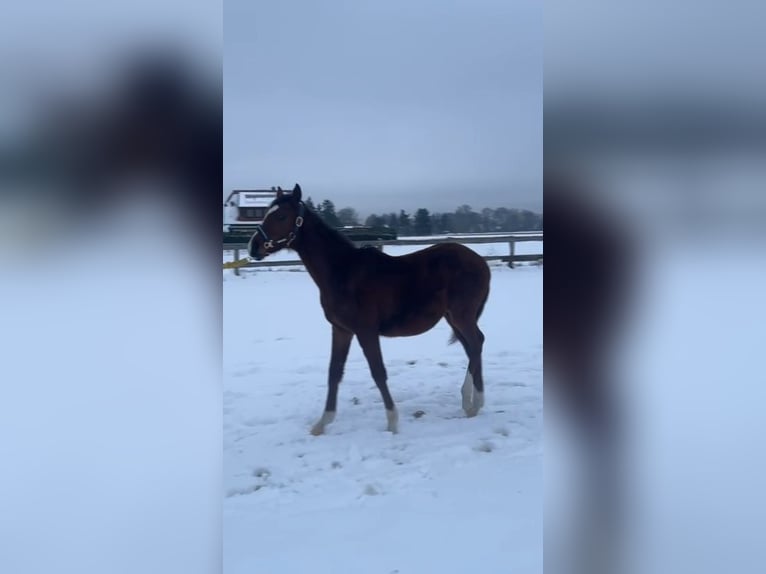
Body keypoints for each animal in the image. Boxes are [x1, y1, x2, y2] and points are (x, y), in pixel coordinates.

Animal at [248, 184, 491, 435]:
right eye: (267, 213)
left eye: (281, 216)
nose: (253, 246)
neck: (342, 272)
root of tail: (481, 262)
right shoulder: (341, 330)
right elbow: (334, 372)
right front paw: (322, 422)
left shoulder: (366, 331)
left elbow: (378, 372)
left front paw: (392, 421)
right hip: (453, 317)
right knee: (472, 347)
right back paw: (476, 401)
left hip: (461, 316)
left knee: (476, 343)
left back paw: (470, 401)